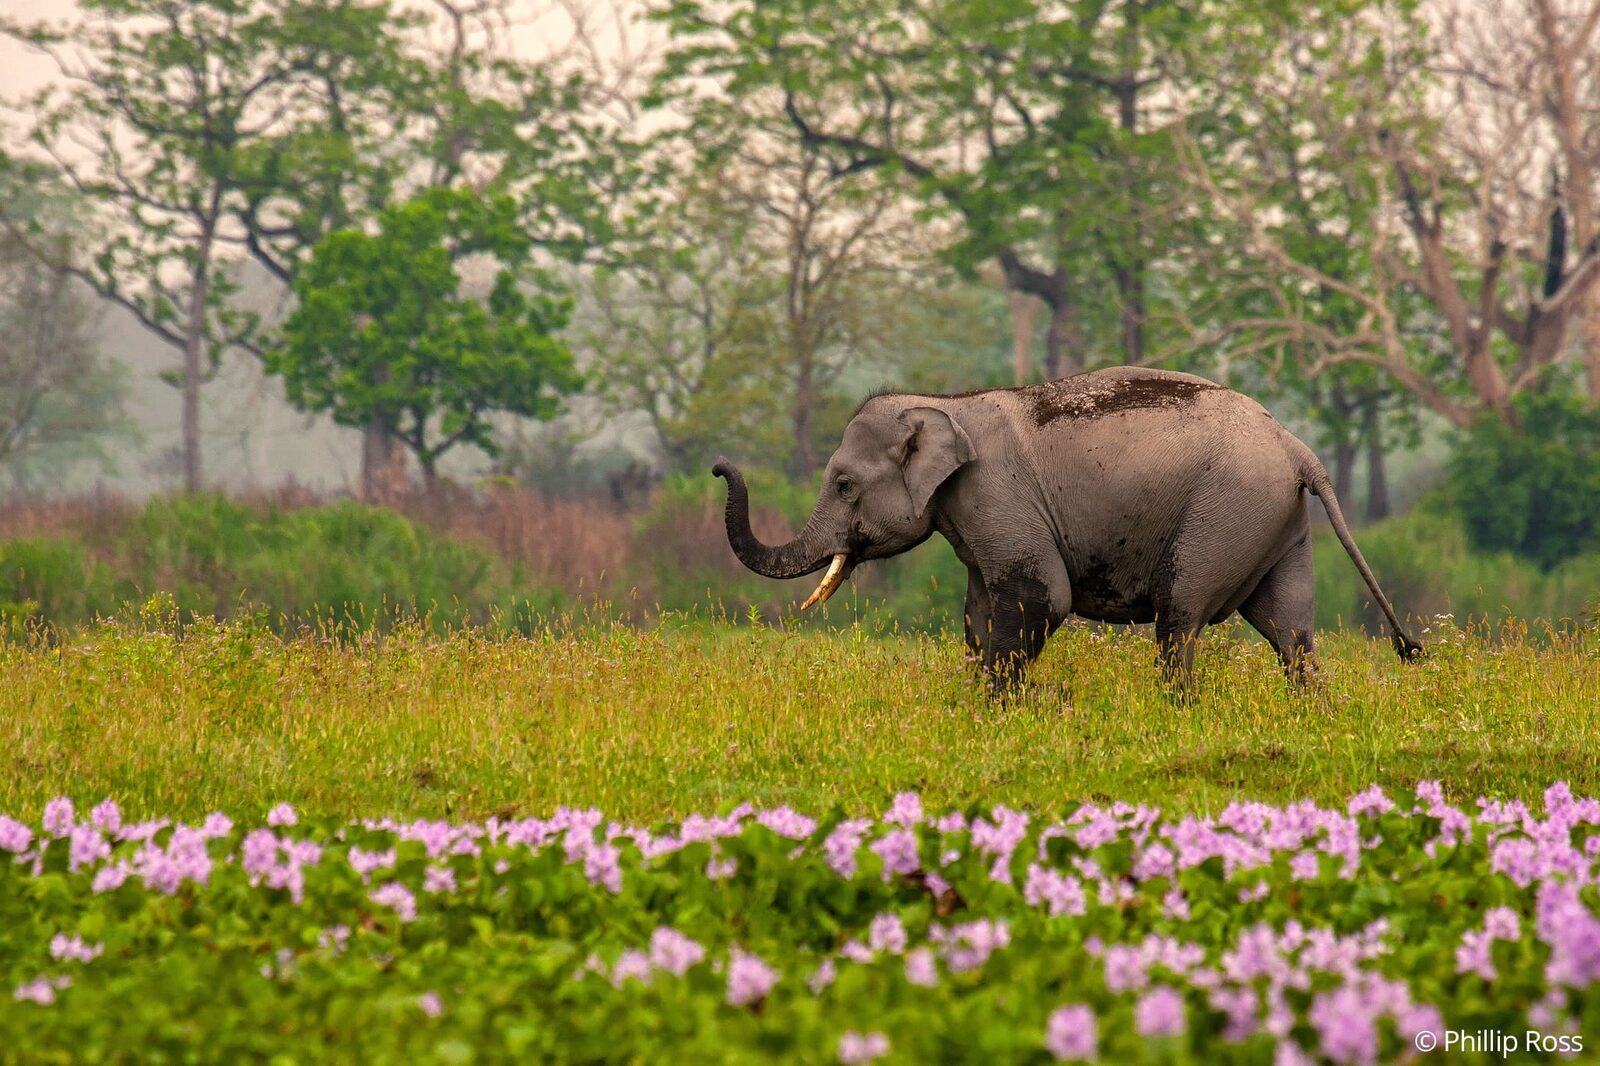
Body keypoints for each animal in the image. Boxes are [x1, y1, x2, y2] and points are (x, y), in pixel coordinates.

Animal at [712, 366, 1421, 692]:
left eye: (843, 485)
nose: (718, 466)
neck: (944, 402)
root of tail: (1299, 448)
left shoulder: (997, 496)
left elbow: (1040, 599)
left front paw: (994, 711)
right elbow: (979, 613)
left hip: (1227, 513)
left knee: (1181, 618)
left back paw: (1176, 714)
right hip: (1278, 524)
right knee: (1290, 630)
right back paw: (1313, 712)